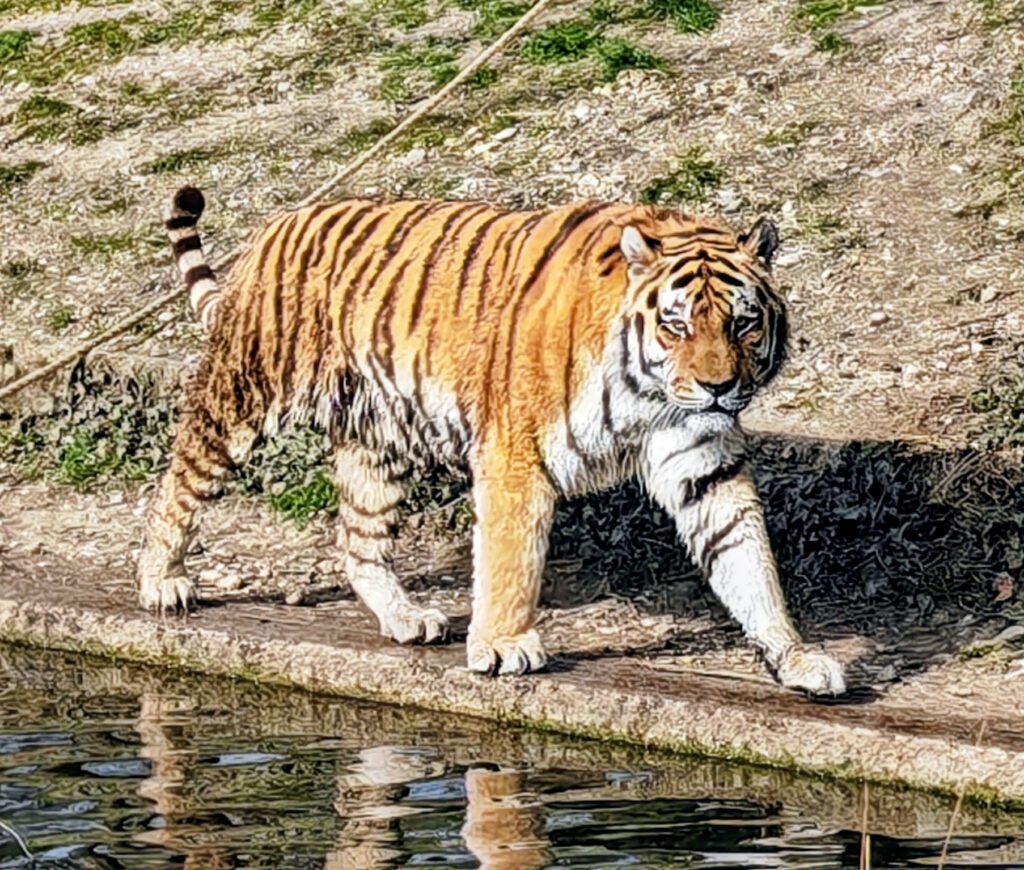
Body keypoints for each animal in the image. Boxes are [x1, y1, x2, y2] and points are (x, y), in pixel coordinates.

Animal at [137, 186, 846, 696]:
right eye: (676, 325)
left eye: (743, 323)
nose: (720, 387)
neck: (648, 392)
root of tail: (277, 224)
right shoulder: (515, 455)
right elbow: (511, 561)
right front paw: (505, 646)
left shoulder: (703, 461)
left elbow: (748, 561)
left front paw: (796, 658)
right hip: (243, 392)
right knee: (180, 480)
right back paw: (161, 581)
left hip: (380, 439)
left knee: (358, 539)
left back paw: (406, 618)